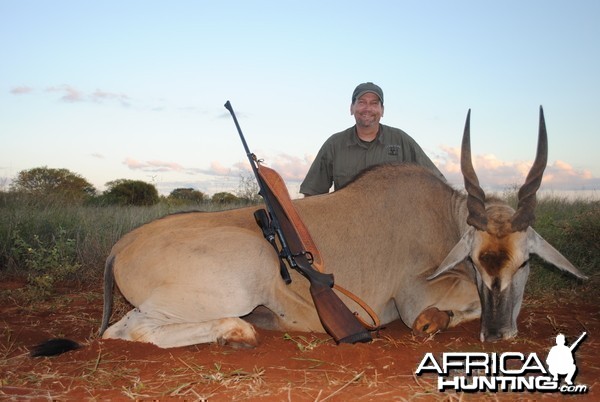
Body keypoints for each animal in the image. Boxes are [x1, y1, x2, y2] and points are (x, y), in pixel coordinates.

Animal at [97, 107, 580, 348]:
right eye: (478, 263)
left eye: (525, 263)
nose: (499, 335)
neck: (443, 215)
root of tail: (121, 247)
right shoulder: (413, 296)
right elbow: (444, 310)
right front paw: (434, 321)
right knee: (128, 330)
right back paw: (239, 331)